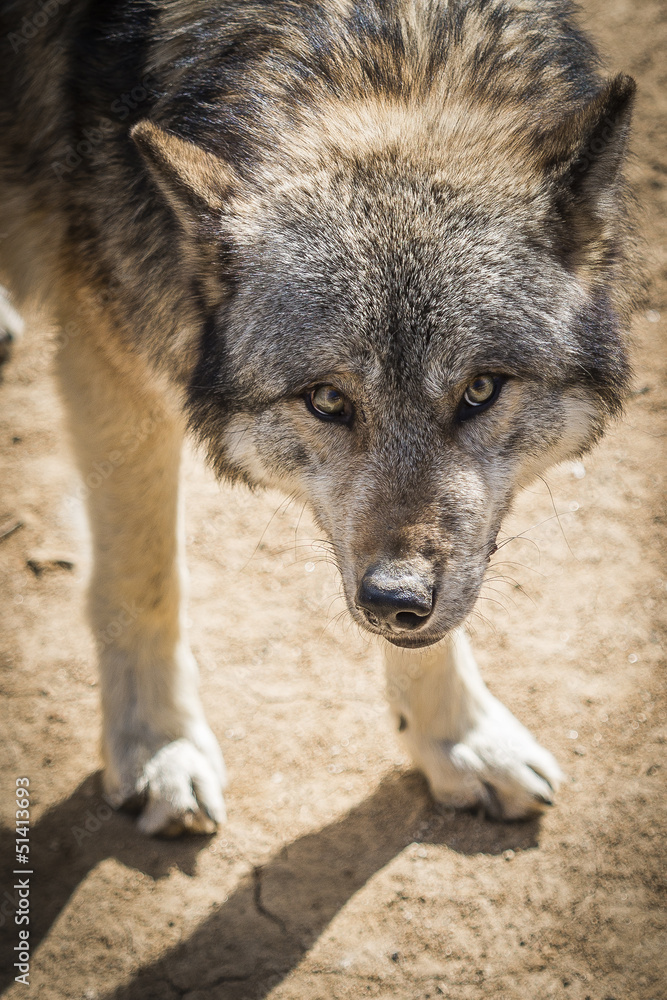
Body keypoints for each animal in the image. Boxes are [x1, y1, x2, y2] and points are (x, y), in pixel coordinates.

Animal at [0, 0, 635, 835]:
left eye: (478, 390)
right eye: (328, 401)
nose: (393, 597)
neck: (368, 49)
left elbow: (443, 621)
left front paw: (458, 740)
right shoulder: (110, 355)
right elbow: (145, 576)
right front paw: (160, 751)